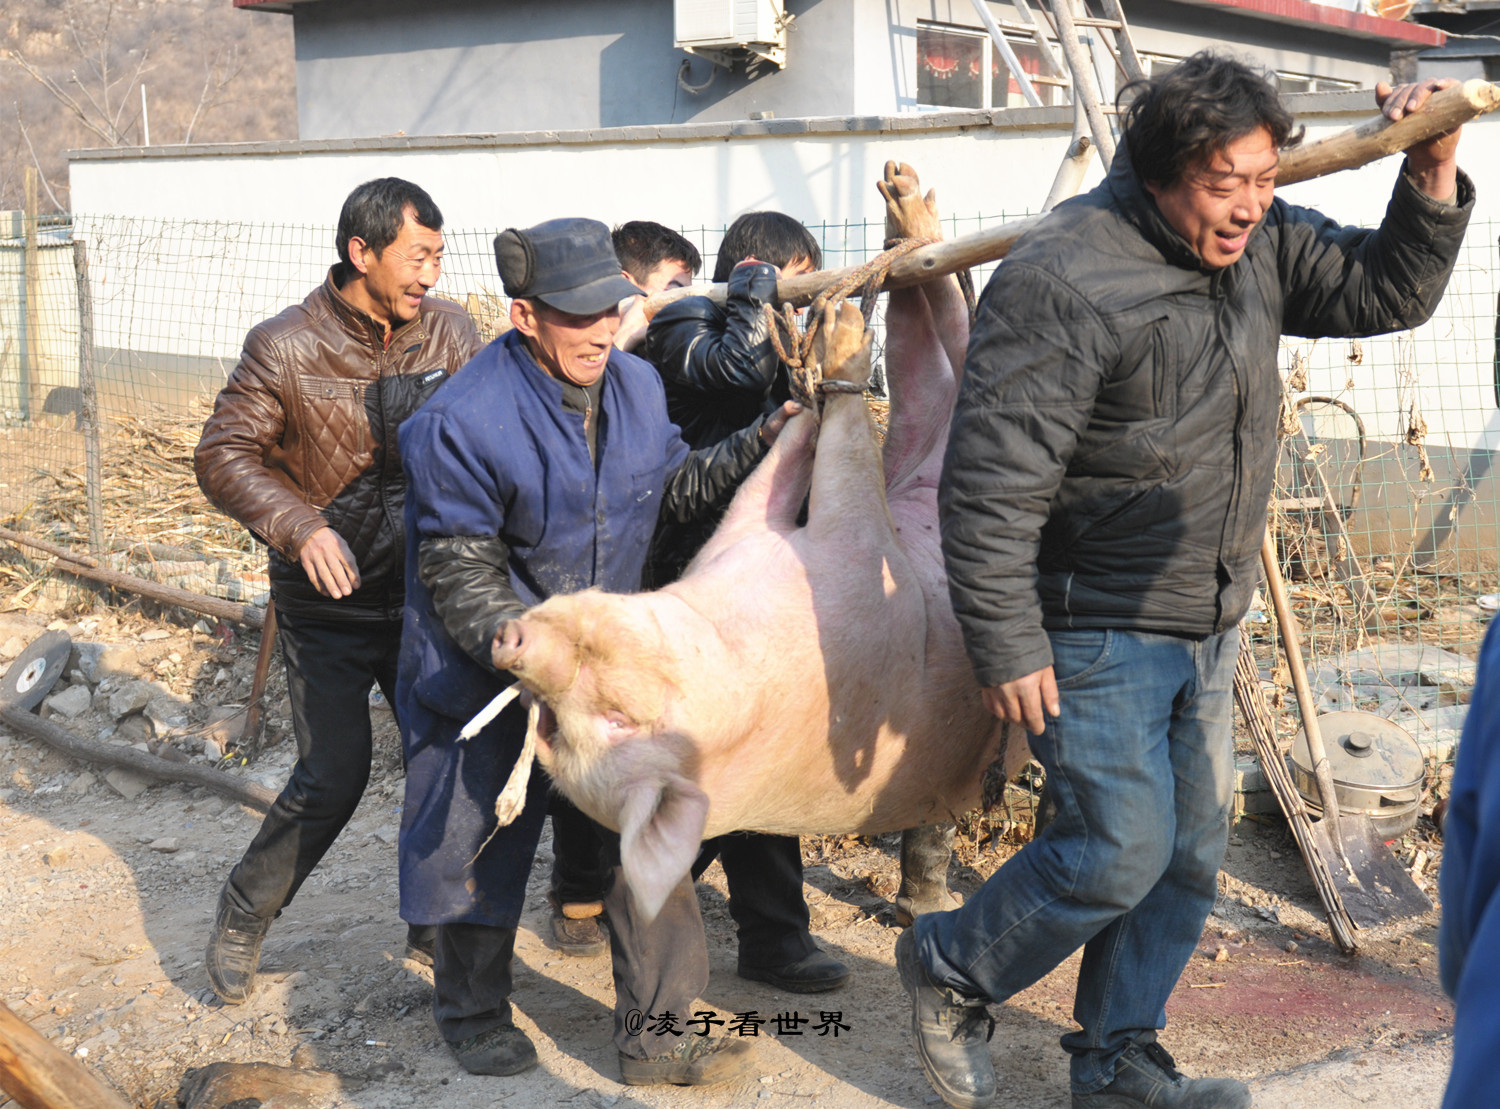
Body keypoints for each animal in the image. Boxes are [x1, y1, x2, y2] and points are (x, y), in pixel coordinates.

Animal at [492, 167, 1032, 918]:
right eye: (604, 720)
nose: (508, 640)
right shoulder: (852, 568)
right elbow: (831, 461)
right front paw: (831, 347)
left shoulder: (749, 540)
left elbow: (774, 468)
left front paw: (797, 381)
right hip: (936, 431)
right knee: (946, 350)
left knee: (937, 310)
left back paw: (902, 209)